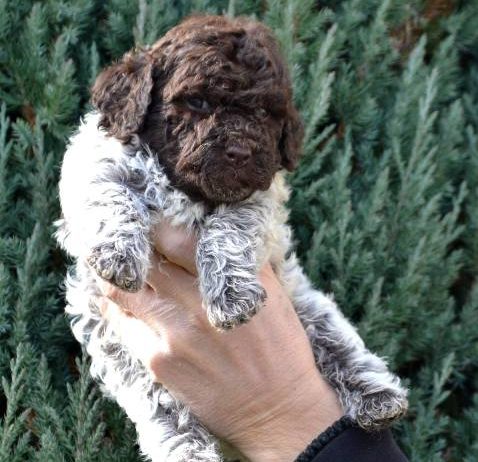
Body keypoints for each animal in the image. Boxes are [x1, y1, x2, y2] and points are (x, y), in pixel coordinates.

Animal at [55, 14, 408, 462]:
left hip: (304, 301)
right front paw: (117, 255)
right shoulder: (95, 163)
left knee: (336, 339)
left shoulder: (260, 196)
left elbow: (230, 229)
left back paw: (377, 396)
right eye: (198, 103)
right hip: (128, 359)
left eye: (264, 112)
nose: (240, 152)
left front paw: (231, 297)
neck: (186, 191)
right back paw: (190, 452)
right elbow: (108, 193)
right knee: (165, 410)